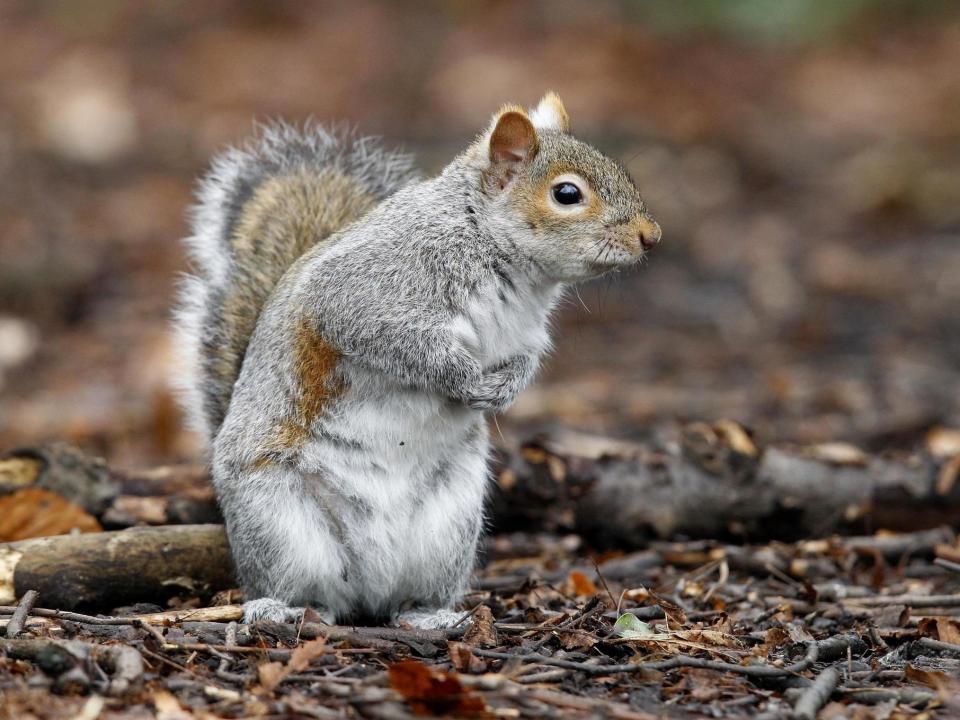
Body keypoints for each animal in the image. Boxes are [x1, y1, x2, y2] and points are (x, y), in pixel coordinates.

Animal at [174, 94, 660, 624]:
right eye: (567, 193)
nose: (651, 235)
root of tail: (369, 586)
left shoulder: (526, 335)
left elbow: (524, 362)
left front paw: (504, 389)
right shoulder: (366, 292)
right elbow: (397, 340)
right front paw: (462, 377)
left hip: (449, 527)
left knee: (403, 597)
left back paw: (427, 615)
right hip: (280, 523)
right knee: (301, 588)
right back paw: (282, 609)